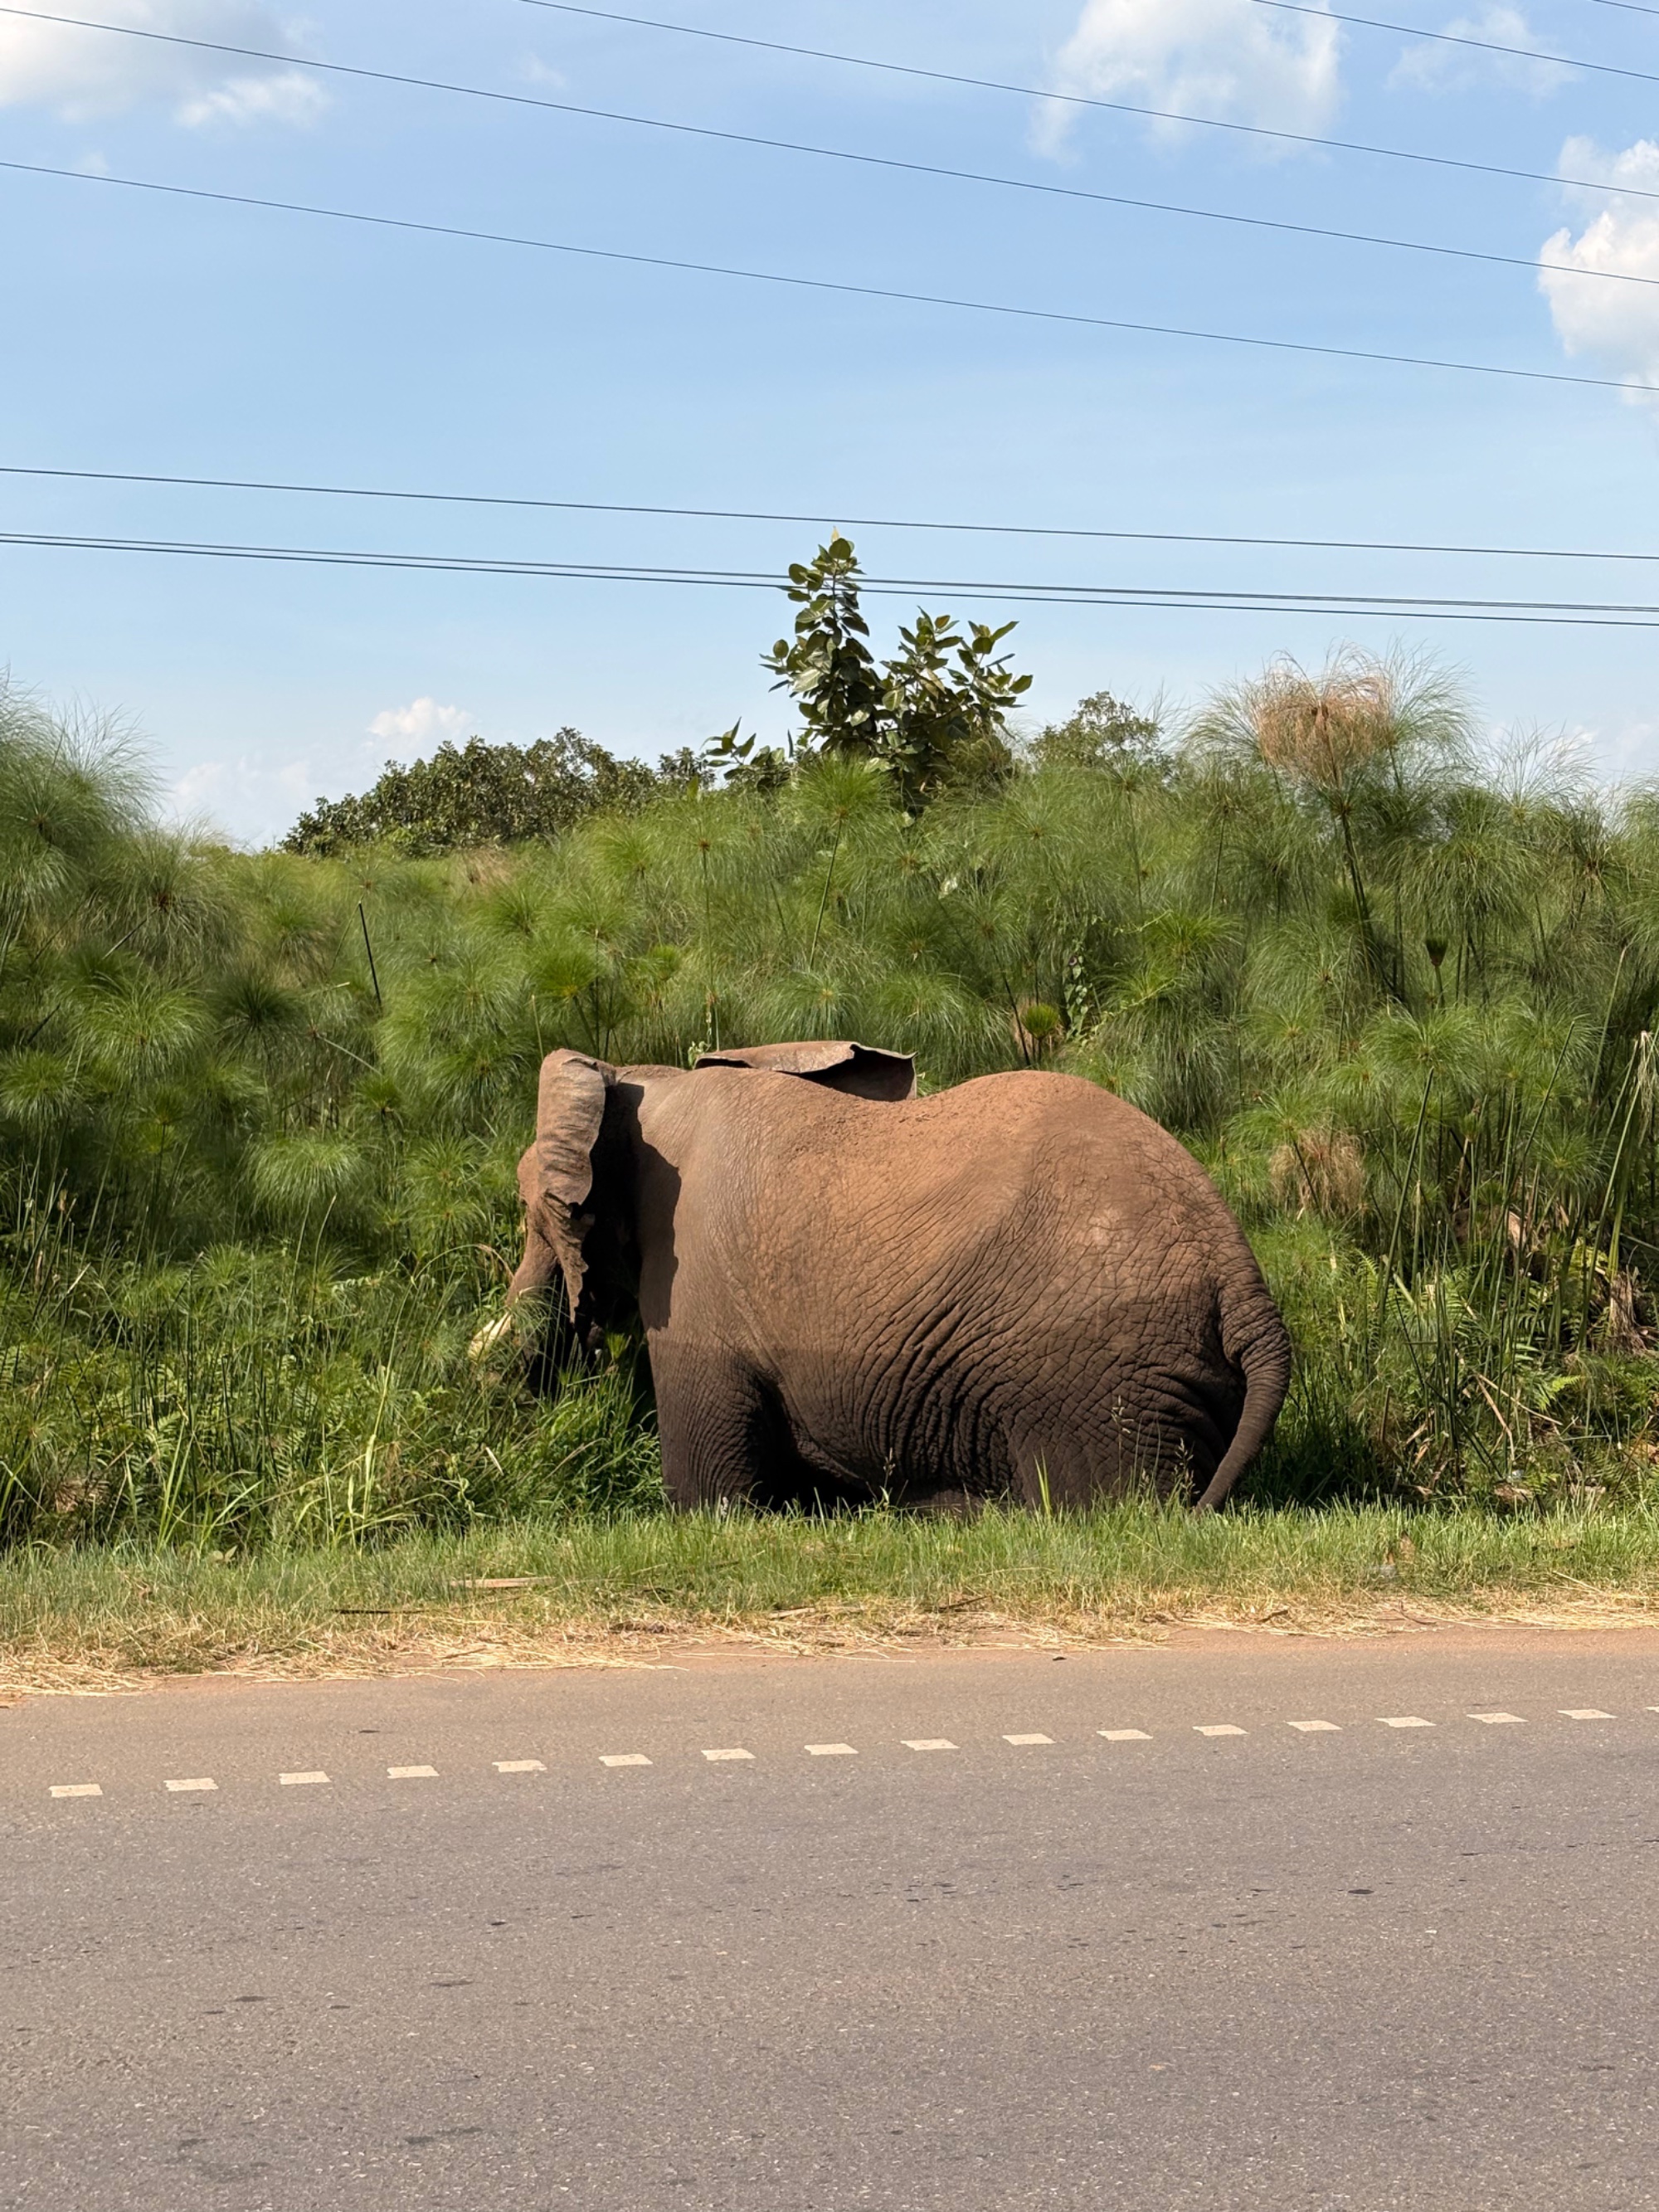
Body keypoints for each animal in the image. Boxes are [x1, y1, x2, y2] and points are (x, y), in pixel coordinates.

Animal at [498, 1039, 1292, 1511]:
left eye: (530, 1207)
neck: (640, 1082)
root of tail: (1244, 1286)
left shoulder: (694, 1289)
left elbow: (711, 1493)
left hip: (1094, 1372)